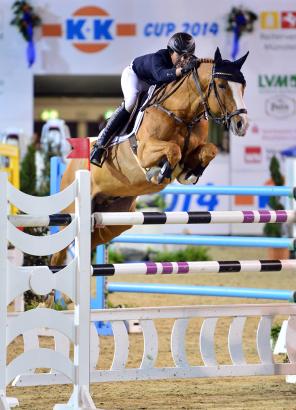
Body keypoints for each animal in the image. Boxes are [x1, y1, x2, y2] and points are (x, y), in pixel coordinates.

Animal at [51, 47, 250, 266]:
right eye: (222, 85)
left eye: (243, 86)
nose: (242, 124)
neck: (182, 114)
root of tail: (70, 164)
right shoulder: (145, 151)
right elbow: (173, 150)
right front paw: (160, 172)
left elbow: (209, 150)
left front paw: (190, 173)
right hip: (71, 213)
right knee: (58, 252)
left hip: (115, 218)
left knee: (92, 240)